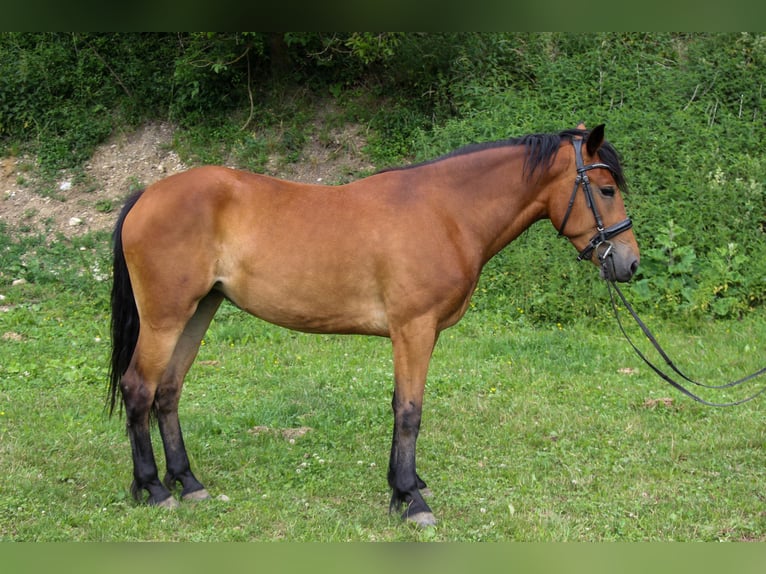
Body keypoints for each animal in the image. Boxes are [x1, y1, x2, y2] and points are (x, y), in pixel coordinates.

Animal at [108, 123, 639, 528]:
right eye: (607, 190)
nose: (629, 264)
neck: (445, 212)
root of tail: (146, 195)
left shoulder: (419, 334)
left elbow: (400, 406)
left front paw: (405, 486)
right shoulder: (413, 330)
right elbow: (409, 411)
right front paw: (410, 500)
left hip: (199, 310)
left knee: (167, 392)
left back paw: (188, 482)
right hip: (166, 318)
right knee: (139, 388)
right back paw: (154, 489)